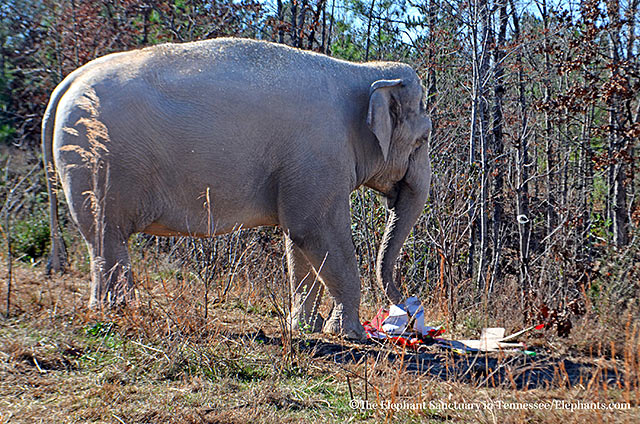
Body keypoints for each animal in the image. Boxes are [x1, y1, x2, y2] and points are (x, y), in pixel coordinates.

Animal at [38, 38, 430, 340]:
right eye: (423, 140)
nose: (410, 315)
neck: (362, 71)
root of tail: (67, 83)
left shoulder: (303, 169)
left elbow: (298, 242)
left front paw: (307, 327)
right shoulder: (319, 155)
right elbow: (317, 232)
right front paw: (351, 334)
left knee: (102, 239)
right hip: (98, 162)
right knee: (109, 235)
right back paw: (118, 313)